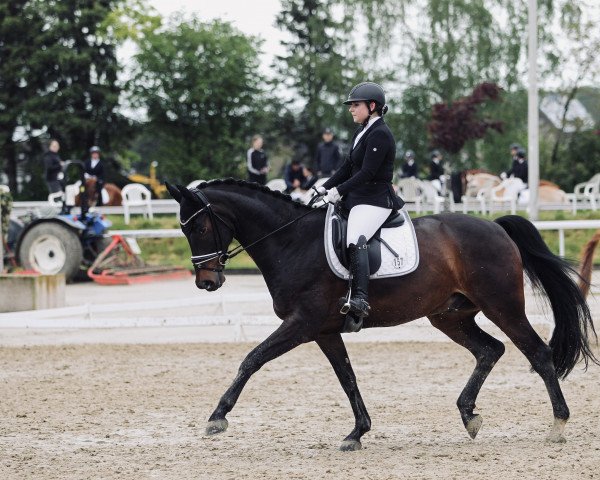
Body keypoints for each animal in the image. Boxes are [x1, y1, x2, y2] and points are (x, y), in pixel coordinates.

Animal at [166, 179, 596, 450]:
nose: (207, 282)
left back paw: (558, 425)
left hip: (502, 305)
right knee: (490, 350)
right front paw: (357, 433)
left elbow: (252, 359)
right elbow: (347, 378)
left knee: (537, 354)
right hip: (449, 316)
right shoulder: (323, 330)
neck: (291, 242)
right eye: (184, 229)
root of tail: (495, 226)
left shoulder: (301, 324)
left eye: (199, 226)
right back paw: (469, 415)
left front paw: (217, 417)